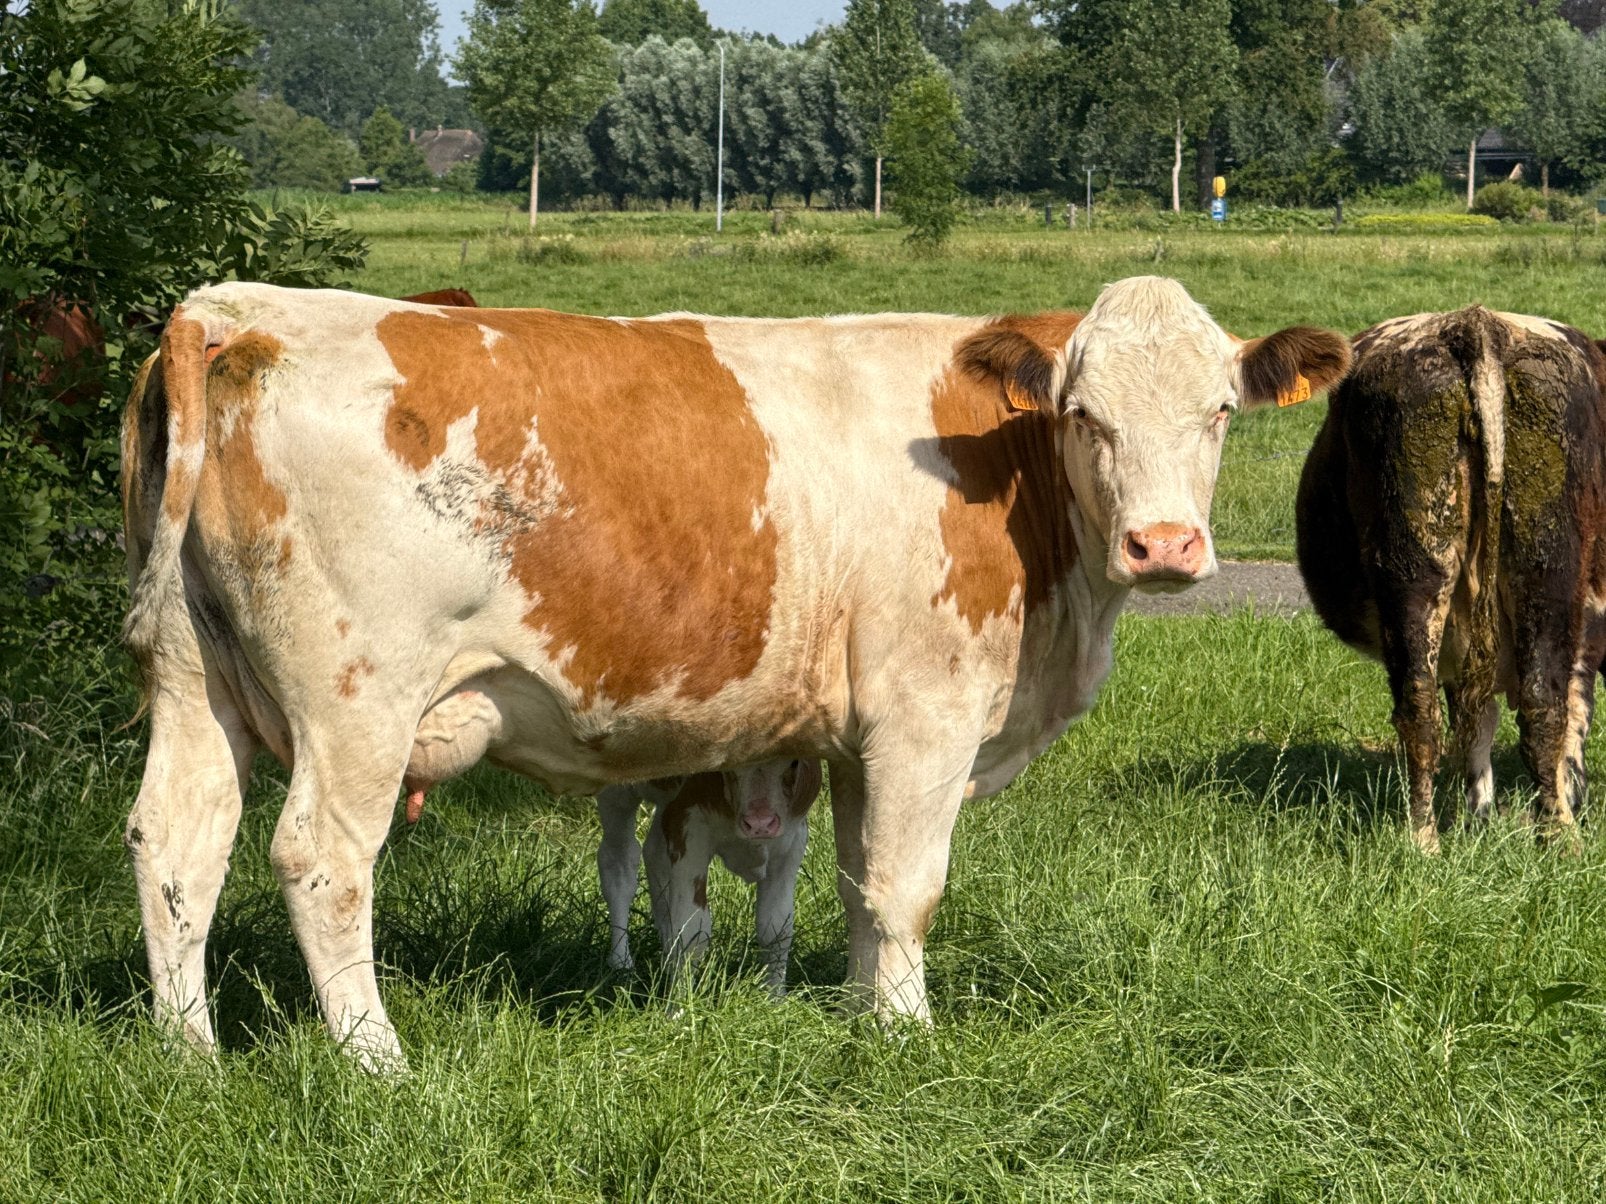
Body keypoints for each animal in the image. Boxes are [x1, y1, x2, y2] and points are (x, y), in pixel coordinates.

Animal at [596, 759, 822, 992]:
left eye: (794, 762)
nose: (760, 823)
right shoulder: (690, 830)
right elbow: (690, 932)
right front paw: (681, 999)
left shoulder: (792, 843)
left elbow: (776, 928)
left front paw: (775, 995)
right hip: (616, 794)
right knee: (618, 865)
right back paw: (622, 965)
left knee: (654, 854)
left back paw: (665, 954)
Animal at [1295, 307, 1606, 853]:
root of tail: (1476, 325)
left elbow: (1476, 721)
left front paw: (1478, 820)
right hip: (1533, 564)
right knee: (1538, 704)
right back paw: (1557, 837)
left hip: (1425, 564)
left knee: (1424, 707)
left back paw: (1426, 841)